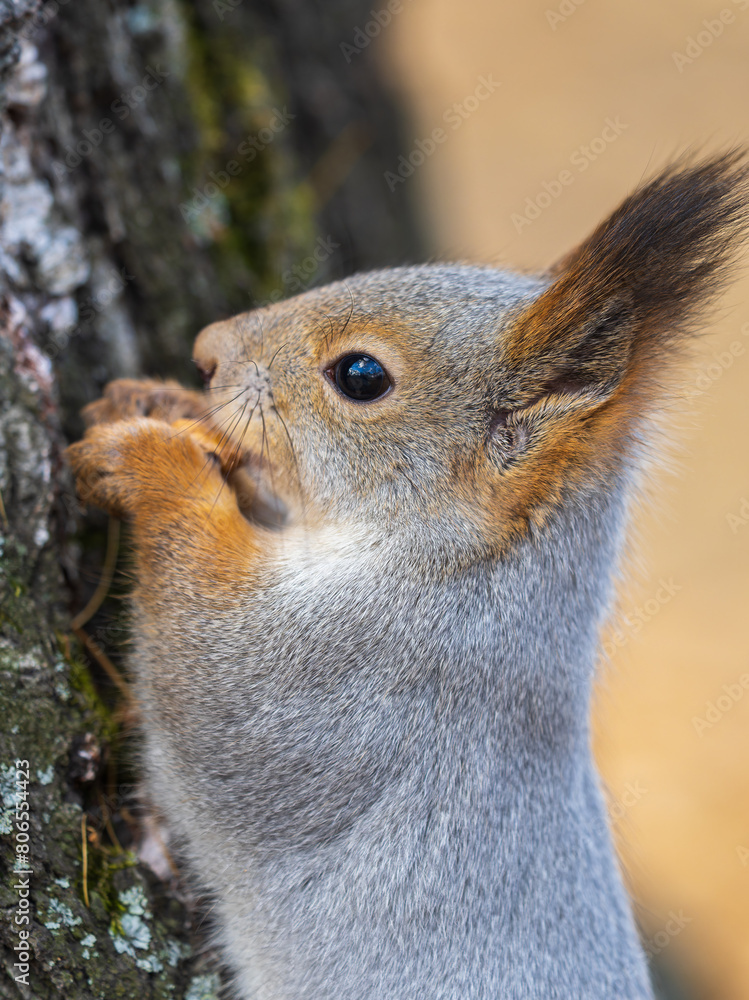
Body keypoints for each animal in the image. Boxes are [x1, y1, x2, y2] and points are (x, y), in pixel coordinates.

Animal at [68, 153, 748, 1000]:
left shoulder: (340, 680)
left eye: (360, 375)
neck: (468, 566)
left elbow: (207, 666)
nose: (206, 348)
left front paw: (150, 461)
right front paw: (158, 400)